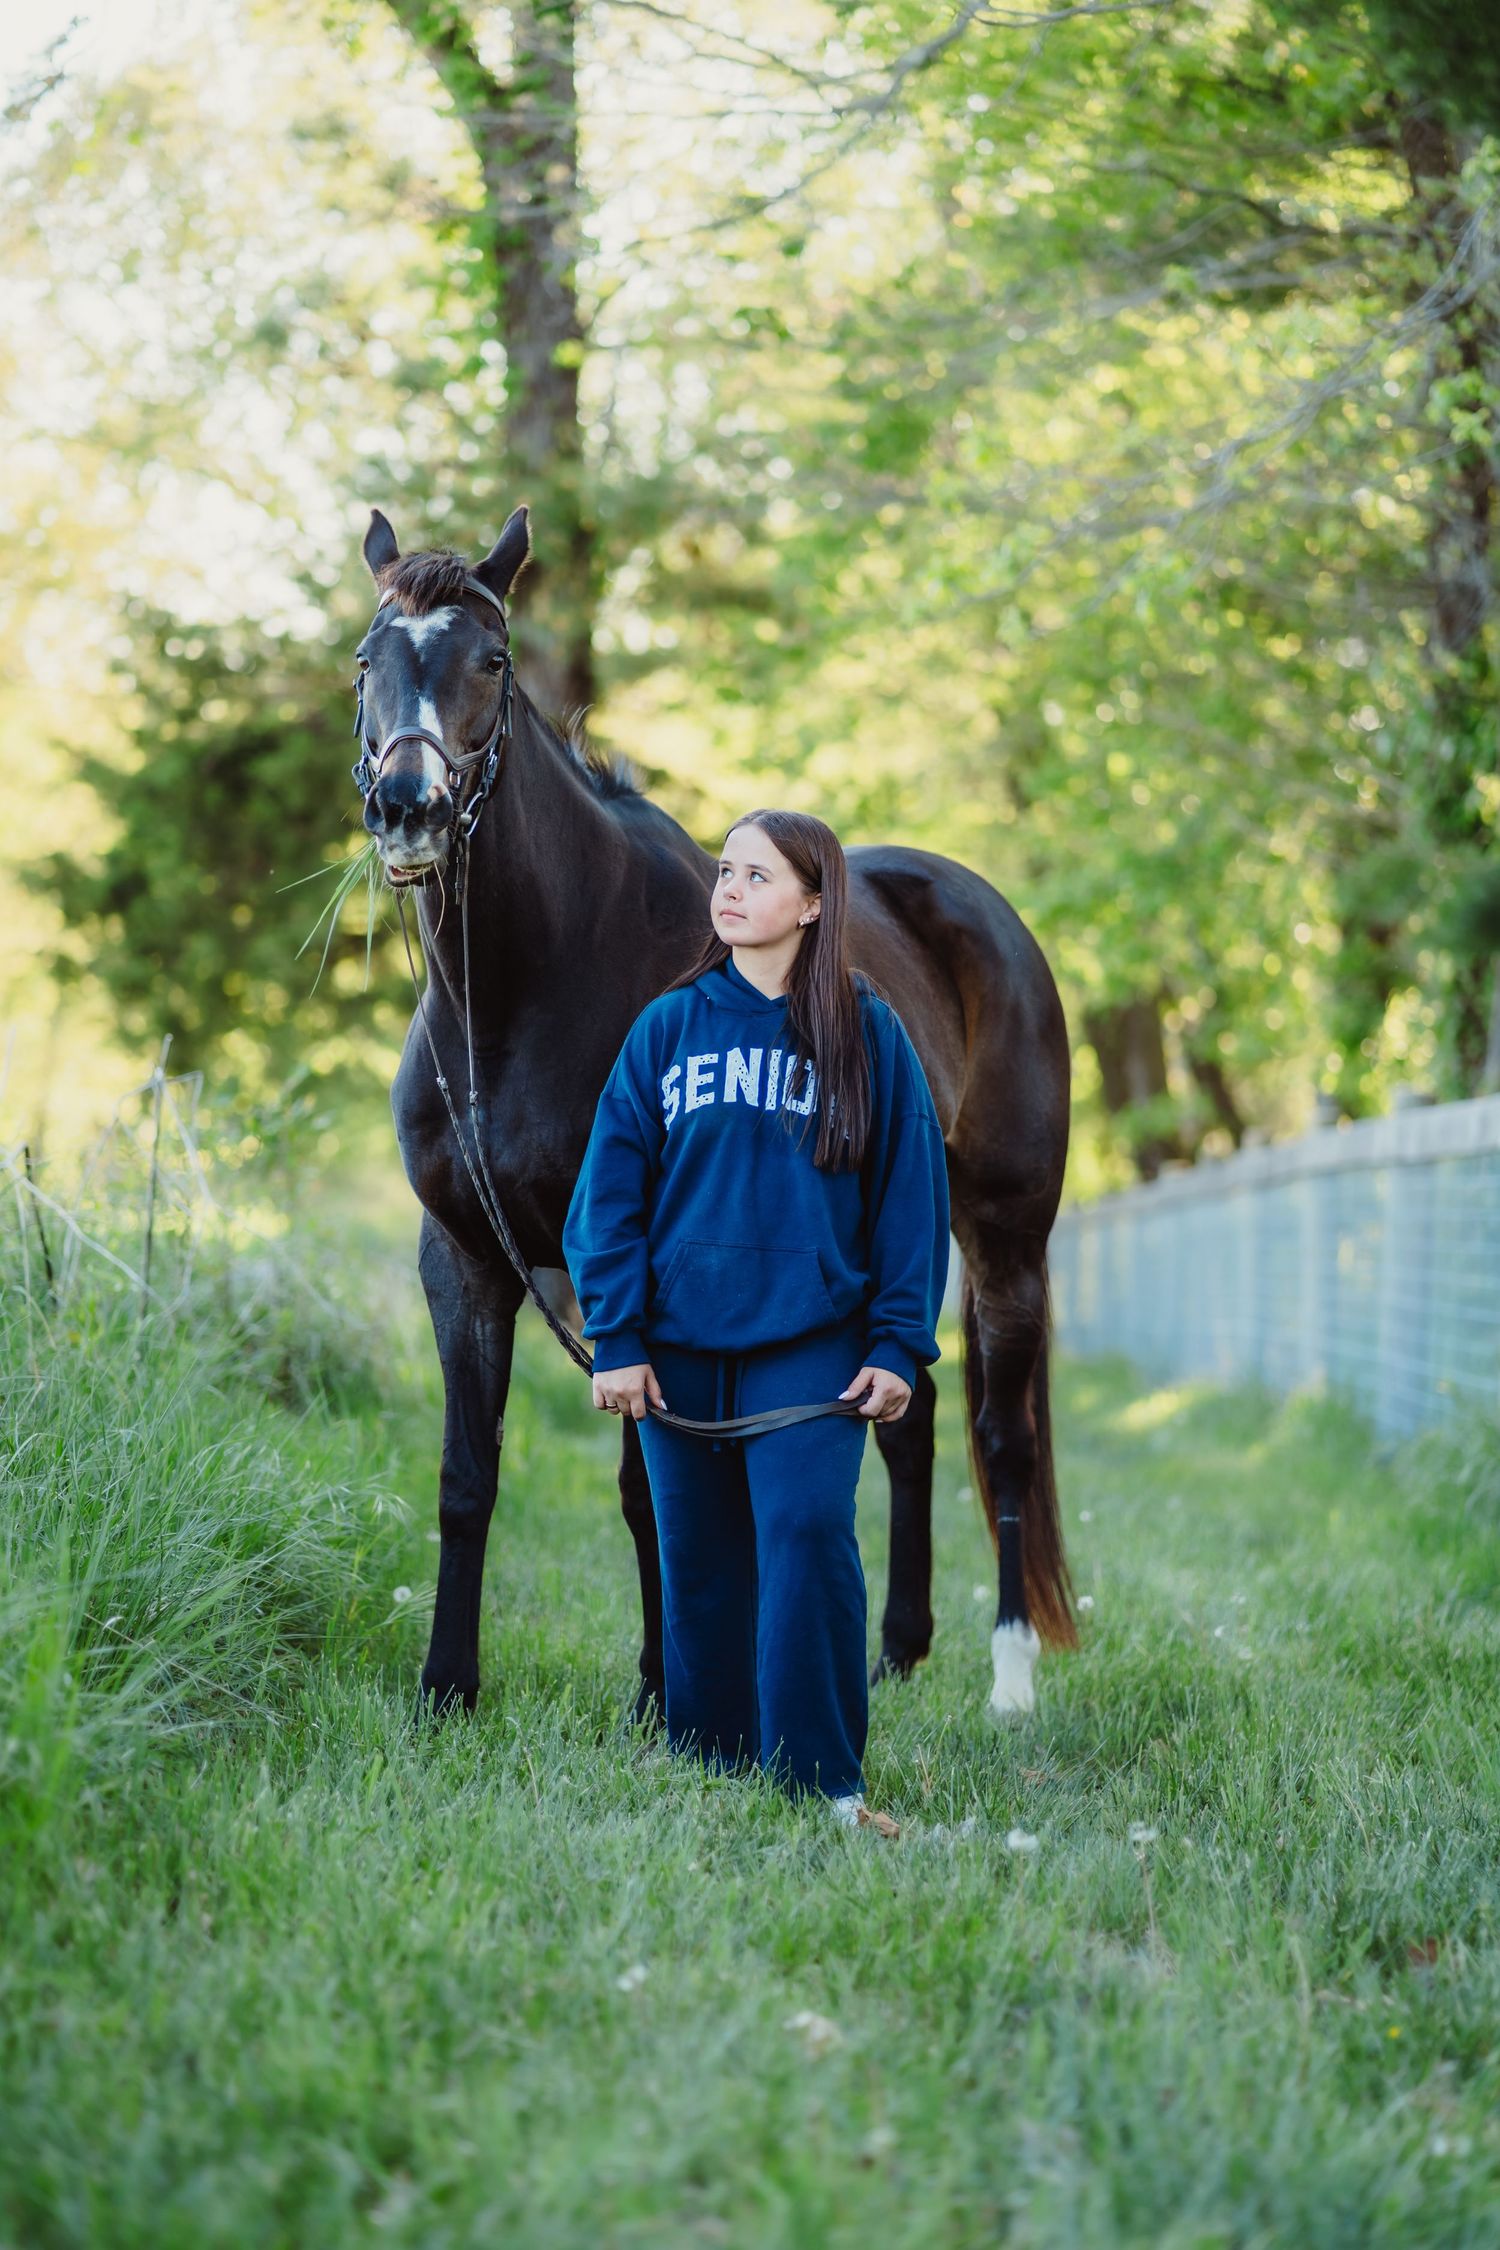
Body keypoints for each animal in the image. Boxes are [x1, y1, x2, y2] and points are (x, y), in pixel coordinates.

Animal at [351, 504, 1074, 1727]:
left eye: (491, 661)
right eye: (367, 663)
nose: (410, 808)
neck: (528, 987)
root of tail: (985, 910)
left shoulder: (635, 1273)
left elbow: (650, 1489)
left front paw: (661, 1694)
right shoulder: (463, 1260)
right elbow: (466, 1477)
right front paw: (448, 1687)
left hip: (1006, 1239)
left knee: (1000, 1434)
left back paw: (1012, 1677)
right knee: (910, 1415)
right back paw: (897, 1651)